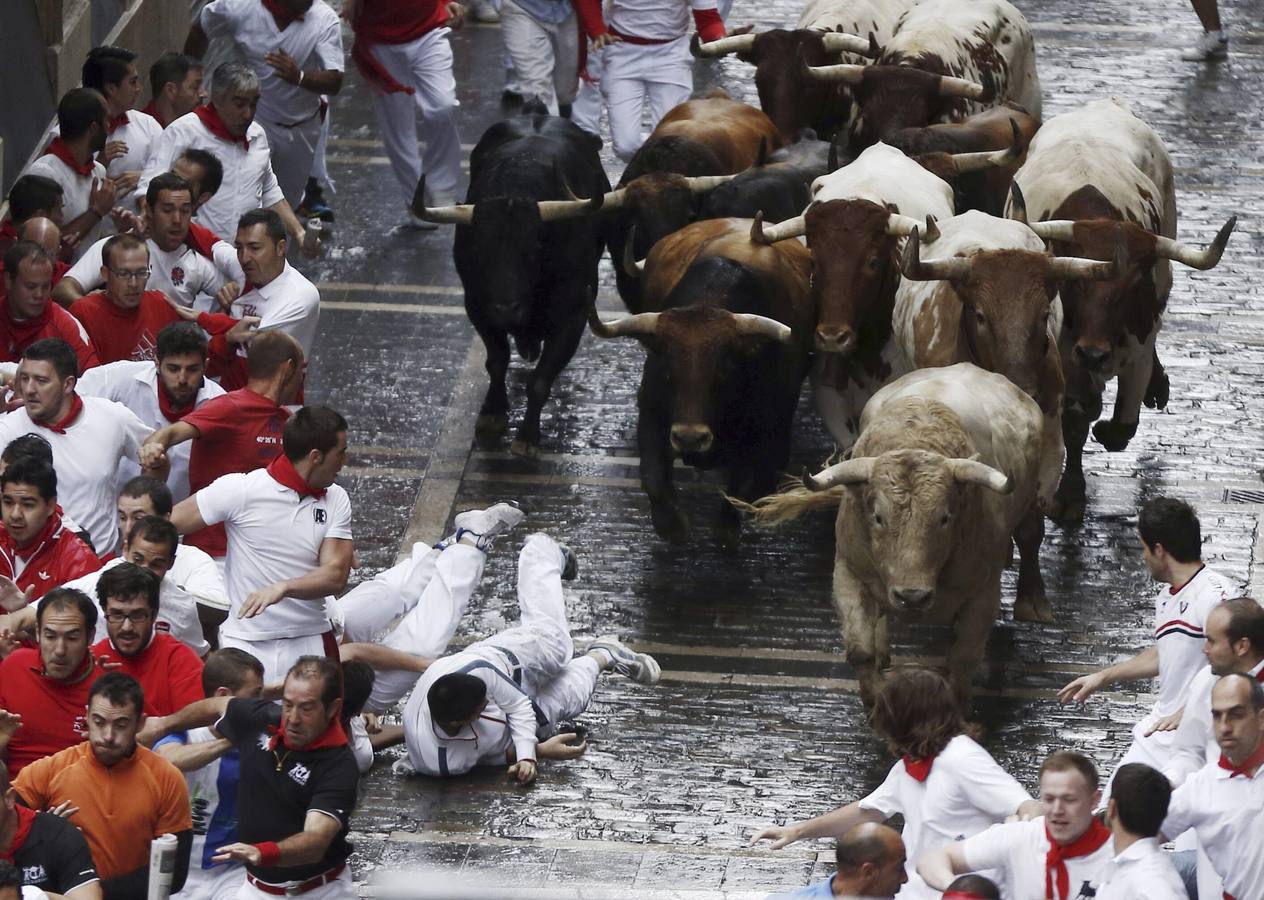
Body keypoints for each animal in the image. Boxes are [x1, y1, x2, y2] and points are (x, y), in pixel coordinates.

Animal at [1011, 97, 1238, 520]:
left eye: (1134, 287)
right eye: (1075, 281)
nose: (1093, 353)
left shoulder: (1139, 344)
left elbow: (1122, 426)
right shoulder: (1064, 355)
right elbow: (1074, 420)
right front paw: (1072, 492)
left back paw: (1156, 386)